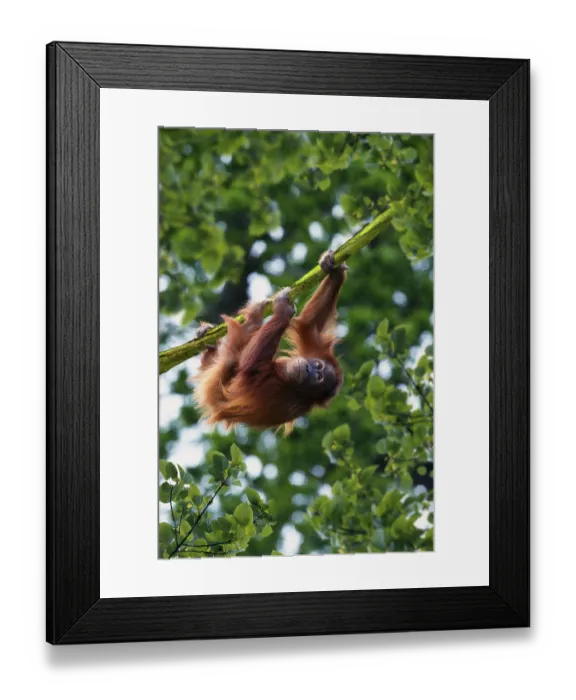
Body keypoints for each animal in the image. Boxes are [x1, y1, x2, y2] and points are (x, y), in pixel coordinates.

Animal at [192, 249, 347, 432]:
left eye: (318, 378)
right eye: (318, 366)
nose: (309, 369)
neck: (286, 379)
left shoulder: (278, 394)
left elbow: (250, 368)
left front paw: (283, 311)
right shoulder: (318, 351)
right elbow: (310, 324)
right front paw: (332, 269)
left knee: (232, 361)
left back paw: (251, 322)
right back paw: (208, 337)